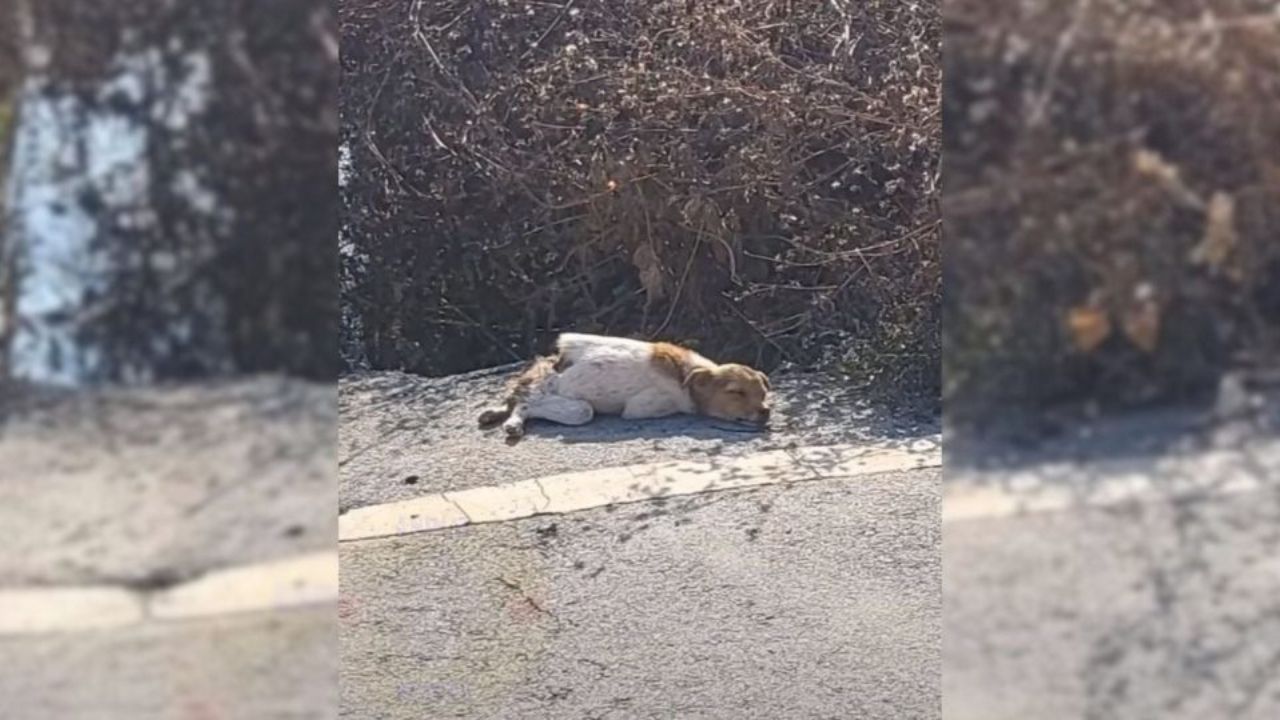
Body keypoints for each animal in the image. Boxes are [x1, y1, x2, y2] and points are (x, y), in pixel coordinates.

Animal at [478, 333, 768, 438]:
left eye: (764, 392)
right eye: (736, 392)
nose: (766, 411)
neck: (686, 377)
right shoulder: (643, 407)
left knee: (519, 399)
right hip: (561, 397)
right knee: (529, 401)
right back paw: (512, 421)